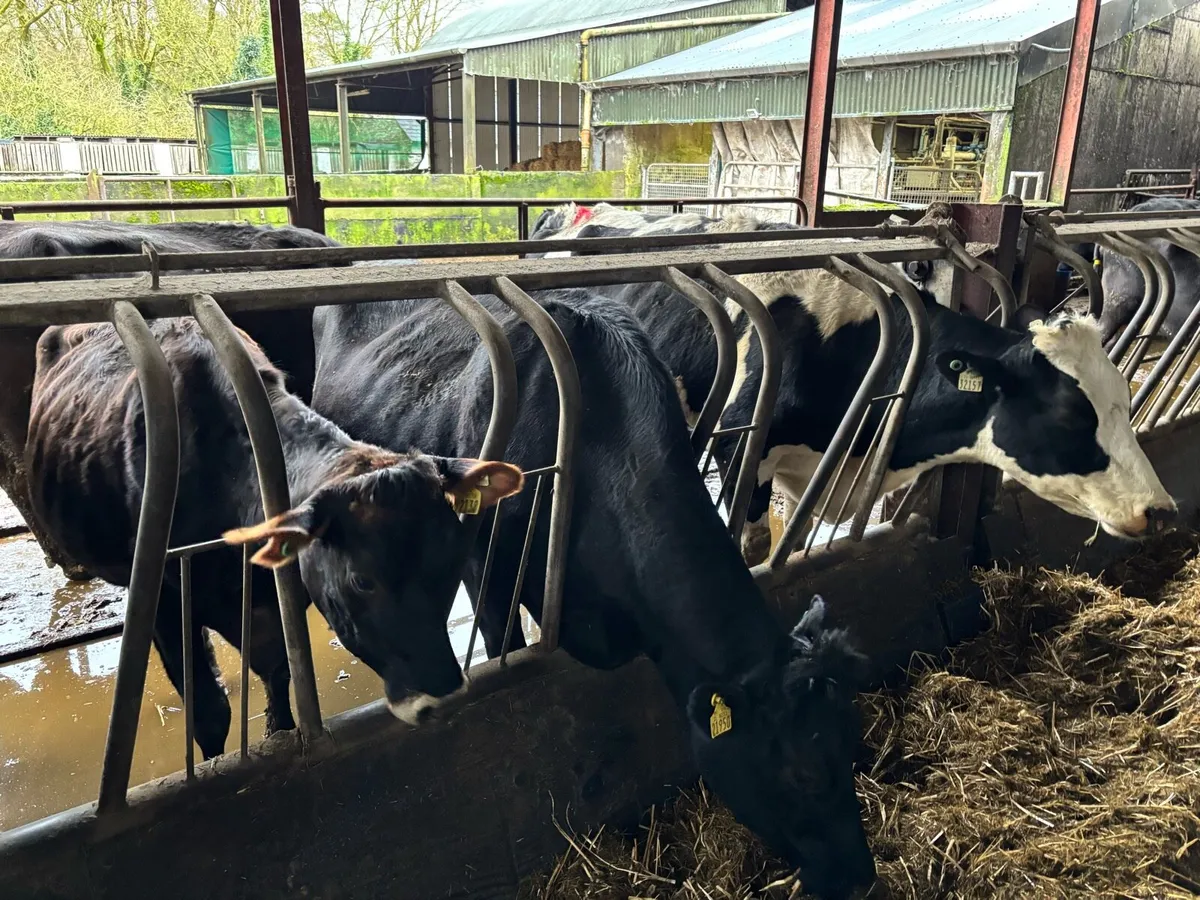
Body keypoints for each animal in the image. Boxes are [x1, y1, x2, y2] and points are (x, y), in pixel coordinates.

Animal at [26, 317, 504, 758]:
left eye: (453, 562)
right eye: (362, 580)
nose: (440, 694)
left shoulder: (274, 602)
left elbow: (278, 677)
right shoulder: (162, 600)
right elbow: (210, 712)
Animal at [529, 203, 1177, 564]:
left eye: (1123, 403)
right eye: (1071, 413)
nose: (1163, 511)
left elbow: (794, 535)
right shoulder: (742, 449)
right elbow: (754, 545)